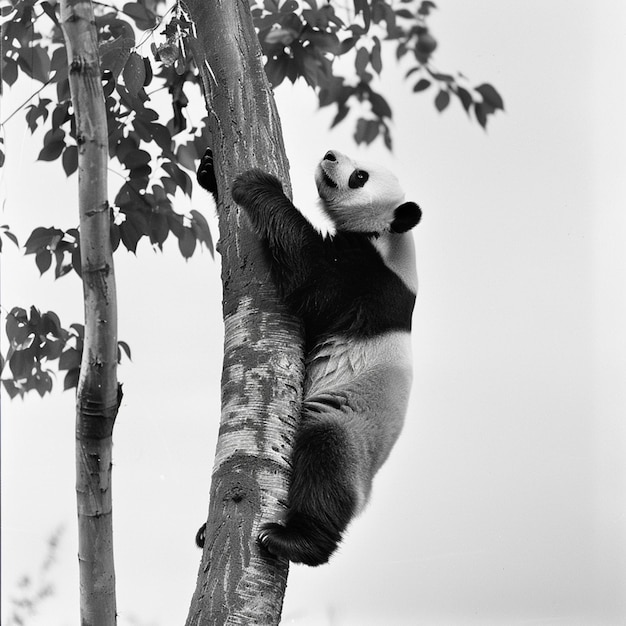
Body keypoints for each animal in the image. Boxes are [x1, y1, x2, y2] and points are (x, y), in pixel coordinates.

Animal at [195, 147, 420, 564]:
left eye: (360, 176)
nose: (330, 154)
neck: (393, 237)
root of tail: (367, 491)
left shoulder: (369, 283)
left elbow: (311, 278)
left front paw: (255, 184)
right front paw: (208, 170)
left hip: (349, 425)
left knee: (324, 458)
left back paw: (295, 540)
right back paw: (206, 532)